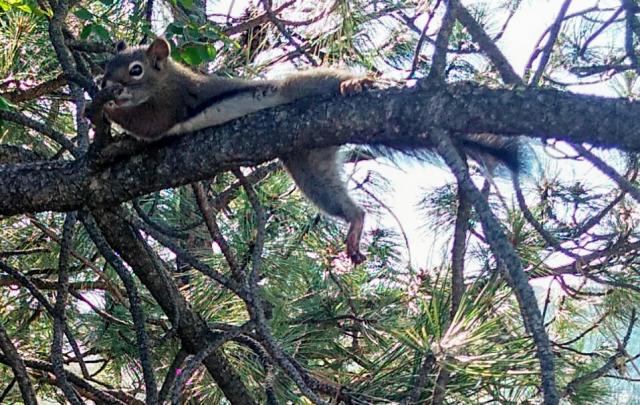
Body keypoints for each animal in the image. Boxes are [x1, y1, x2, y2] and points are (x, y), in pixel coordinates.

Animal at [97, 37, 520, 266]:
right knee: (341, 201)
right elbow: (139, 139)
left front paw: (102, 109)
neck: (166, 78)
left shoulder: (172, 103)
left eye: (135, 69)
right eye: (107, 65)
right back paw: (355, 225)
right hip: (308, 165)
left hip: (303, 89)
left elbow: (150, 123)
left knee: (328, 79)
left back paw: (356, 82)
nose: (108, 85)